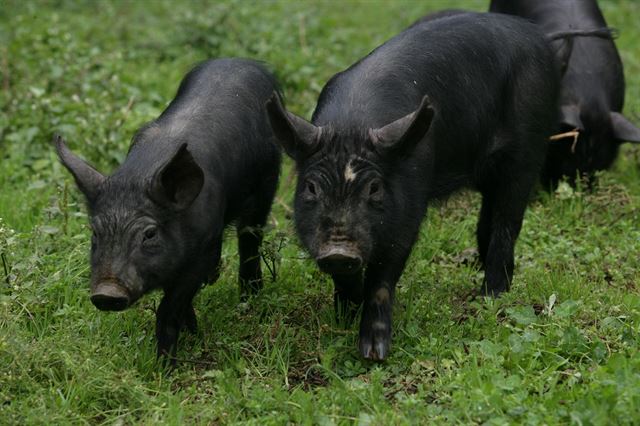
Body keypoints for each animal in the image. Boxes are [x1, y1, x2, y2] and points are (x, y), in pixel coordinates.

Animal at [56, 58, 282, 362]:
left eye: (150, 234)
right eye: (95, 233)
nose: (106, 292)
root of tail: (243, 61)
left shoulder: (205, 247)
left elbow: (170, 306)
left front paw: (165, 365)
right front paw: (192, 334)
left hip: (267, 180)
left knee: (250, 239)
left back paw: (250, 298)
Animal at [264, 12, 560, 360]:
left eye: (374, 188)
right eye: (311, 187)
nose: (339, 250)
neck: (352, 124)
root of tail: (534, 35)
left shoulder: (407, 215)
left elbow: (382, 279)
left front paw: (373, 354)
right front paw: (344, 315)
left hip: (529, 146)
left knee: (508, 220)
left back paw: (491, 296)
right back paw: (475, 264)